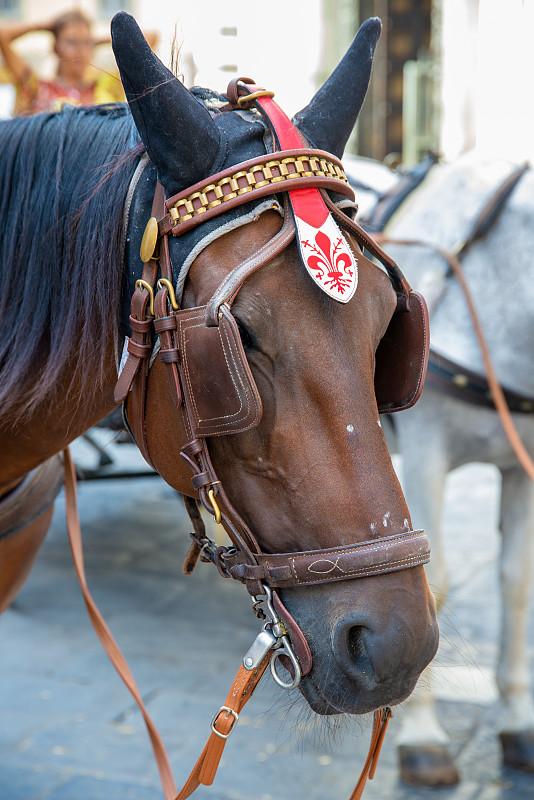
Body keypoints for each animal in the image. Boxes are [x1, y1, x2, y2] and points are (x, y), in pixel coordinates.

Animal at [360, 153, 534, 784]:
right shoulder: (426, 453)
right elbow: (432, 584)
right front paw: (423, 738)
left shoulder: (523, 466)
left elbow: (516, 583)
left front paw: (517, 722)